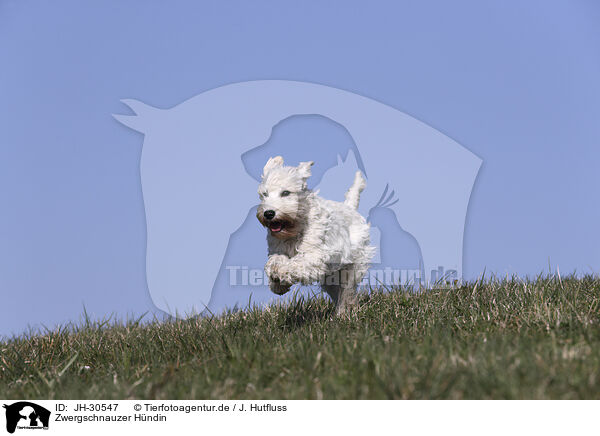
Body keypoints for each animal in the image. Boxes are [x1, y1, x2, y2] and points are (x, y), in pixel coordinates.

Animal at [255, 157, 372, 314]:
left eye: (286, 192)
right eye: (265, 194)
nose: (268, 213)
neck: (295, 228)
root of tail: (350, 207)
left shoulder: (315, 256)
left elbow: (296, 264)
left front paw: (281, 272)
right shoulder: (278, 249)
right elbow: (274, 261)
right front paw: (277, 284)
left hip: (351, 267)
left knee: (347, 292)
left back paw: (344, 313)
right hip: (331, 277)